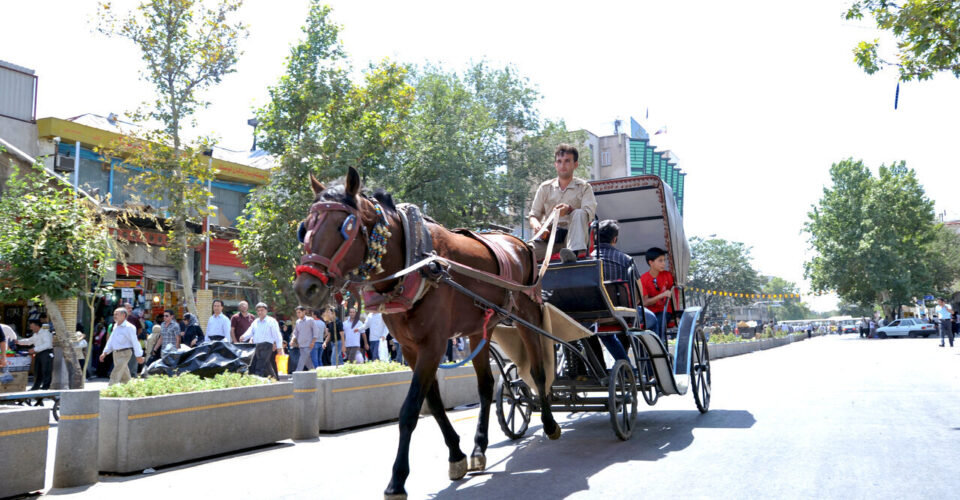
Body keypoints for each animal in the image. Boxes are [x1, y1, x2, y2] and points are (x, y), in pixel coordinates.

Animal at [294, 169, 564, 500]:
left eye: (344, 226)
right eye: (305, 227)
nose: (306, 287)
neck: (414, 260)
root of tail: (522, 242)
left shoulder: (433, 345)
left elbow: (410, 409)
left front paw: (397, 479)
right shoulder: (411, 348)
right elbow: (433, 403)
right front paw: (457, 456)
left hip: (526, 314)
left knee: (538, 371)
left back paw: (549, 424)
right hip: (480, 329)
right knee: (486, 386)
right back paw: (479, 448)